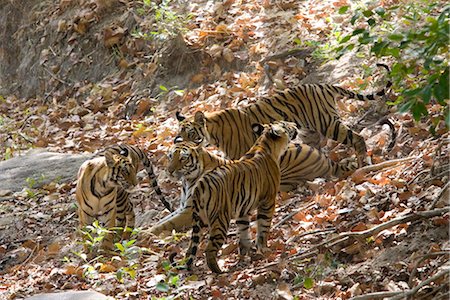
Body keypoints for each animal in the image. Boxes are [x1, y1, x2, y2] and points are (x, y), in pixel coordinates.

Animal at [148, 139, 356, 236]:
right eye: (170, 156)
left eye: (182, 158)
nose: (169, 170)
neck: (187, 181)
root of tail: (325, 158)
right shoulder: (183, 207)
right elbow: (162, 220)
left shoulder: (192, 210)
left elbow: (164, 225)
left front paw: (144, 236)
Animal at [174, 63, 392, 166]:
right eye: (179, 137)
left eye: (191, 134)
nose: (185, 146)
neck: (212, 133)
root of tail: (322, 85)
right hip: (308, 132)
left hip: (327, 123)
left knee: (357, 138)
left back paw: (364, 162)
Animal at [178, 120, 298, 274]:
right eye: (285, 125)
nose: (295, 124)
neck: (264, 144)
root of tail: (200, 184)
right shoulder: (268, 201)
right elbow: (263, 227)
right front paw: (264, 249)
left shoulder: (243, 210)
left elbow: (244, 232)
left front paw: (247, 253)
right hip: (220, 219)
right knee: (209, 249)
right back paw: (219, 271)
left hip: (200, 219)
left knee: (189, 250)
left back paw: (189, 268)